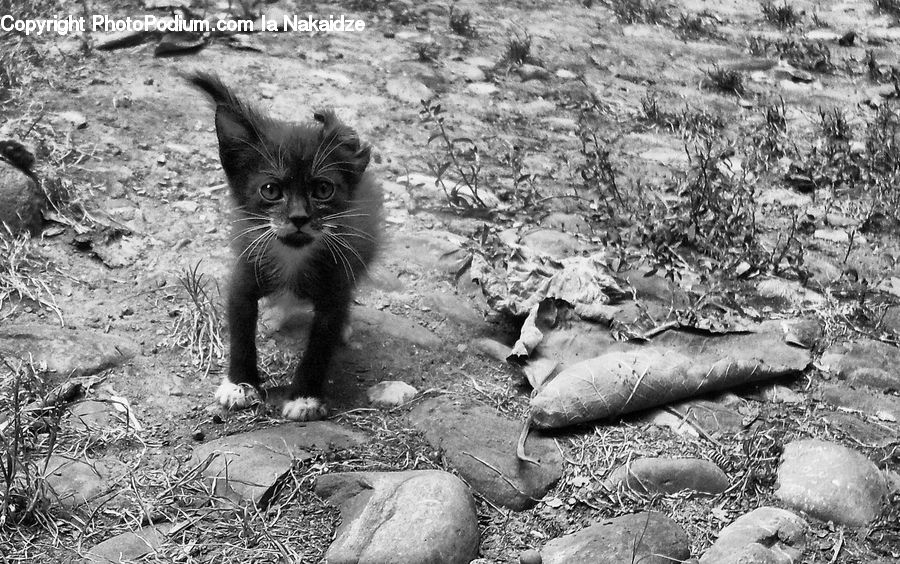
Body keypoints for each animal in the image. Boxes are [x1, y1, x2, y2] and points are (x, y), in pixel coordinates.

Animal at [190, 74, 380, 418]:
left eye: (323, 189)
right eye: (270, 190)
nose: (299, 217)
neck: (292, 256)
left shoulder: (335, 283)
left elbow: (320, 343)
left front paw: (304, 397)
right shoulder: (244, 275)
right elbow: (241, 331)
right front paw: (240, 384)